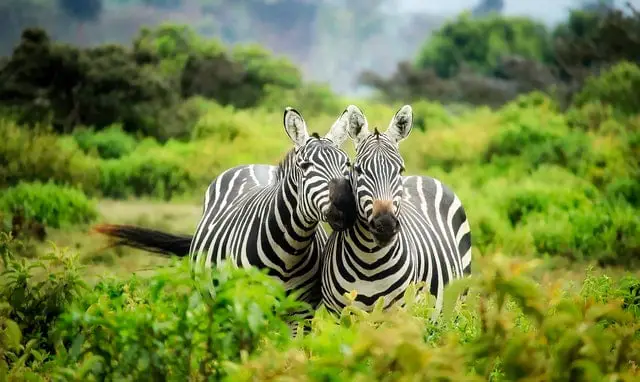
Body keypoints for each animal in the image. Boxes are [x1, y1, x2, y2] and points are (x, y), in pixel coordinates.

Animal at [93, 105, 358, 320]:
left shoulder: (301, 312)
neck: (290, 251)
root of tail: (254, 165)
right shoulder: (248, 305)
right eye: (305, 166)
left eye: (347, 164)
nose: (346, 205)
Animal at [318, 103, 470, 320]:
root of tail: (423, 177)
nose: (385, 225)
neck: (369, 262)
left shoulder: (400, 314)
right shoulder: (339, 316)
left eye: (400, 170)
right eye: (358, 170)